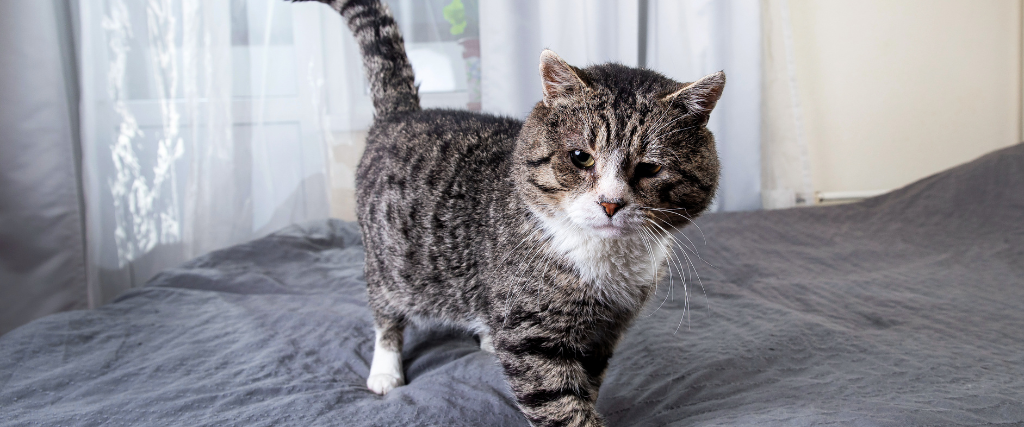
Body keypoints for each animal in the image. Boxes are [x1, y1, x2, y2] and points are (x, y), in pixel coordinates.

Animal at [296, 1, 724, 423]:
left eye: (650, 168)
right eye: (580, 157)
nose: (610, 203)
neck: (607, 260)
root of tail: (403, 114)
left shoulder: (604, 334)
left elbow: (587, 386)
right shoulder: (532, 337)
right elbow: (562, 406)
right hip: (390, 262)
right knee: (384, 309)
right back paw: (385, 368)